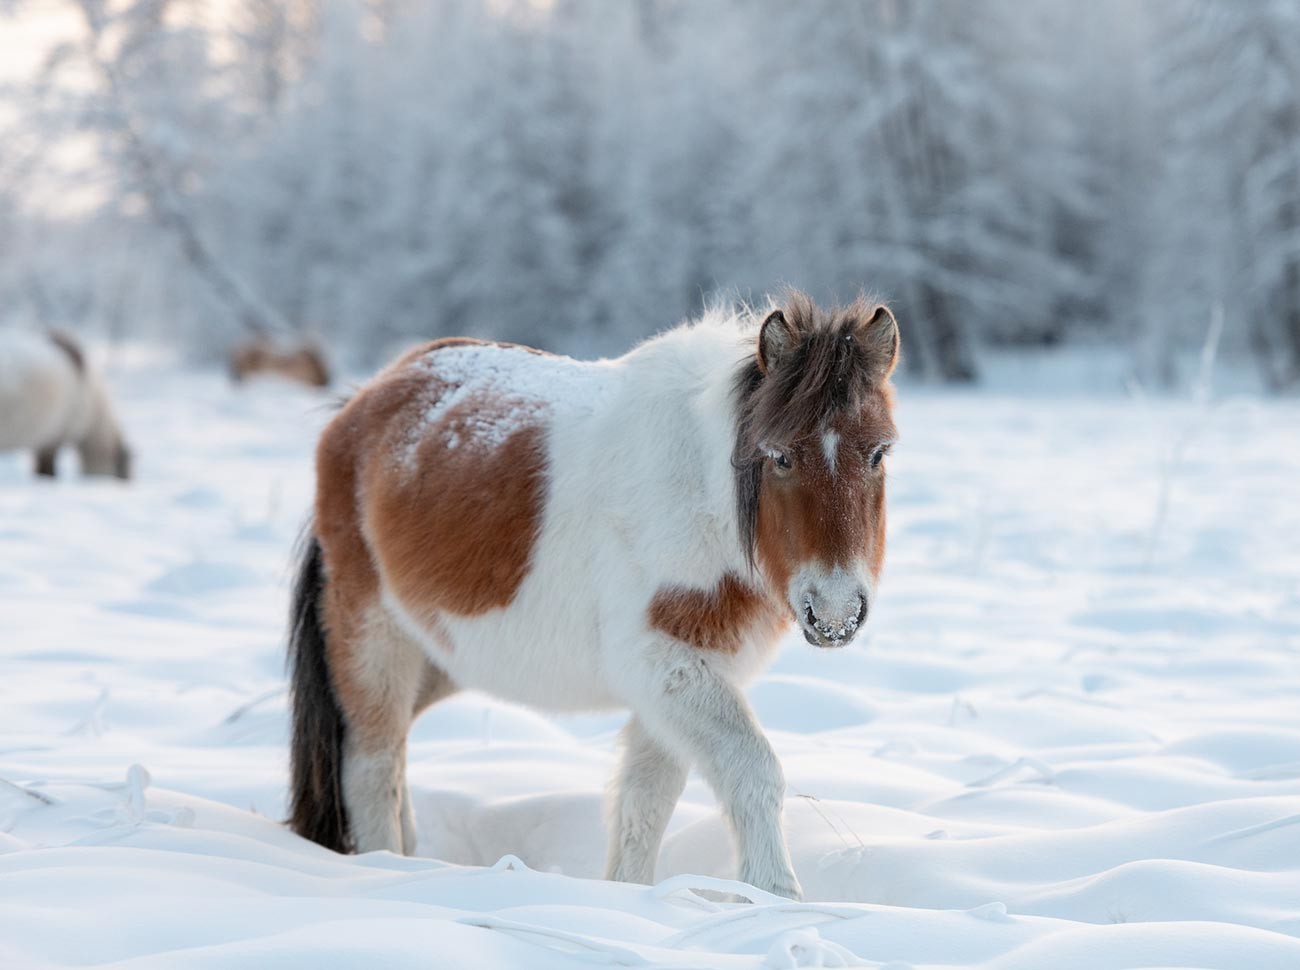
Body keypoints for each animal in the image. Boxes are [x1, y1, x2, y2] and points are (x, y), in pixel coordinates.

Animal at [287, 291, 894, 894]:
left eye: (878, 453)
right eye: (781, 456)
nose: (836, 614)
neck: (702, 493)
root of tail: (363, 401)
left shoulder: (678, 680)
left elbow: (644, 803)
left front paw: (632, 898)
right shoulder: (668, 667)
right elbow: (752, 769)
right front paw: (774, 896)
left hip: (434, 658)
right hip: (373, 643)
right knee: (372, 767)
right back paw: (386, 870)